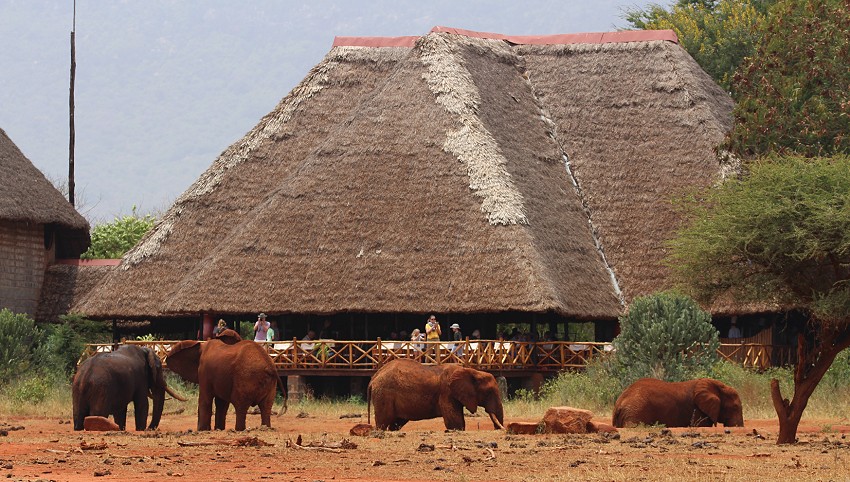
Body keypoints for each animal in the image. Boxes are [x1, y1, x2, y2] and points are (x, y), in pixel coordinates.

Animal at [366, 358, 504, 434]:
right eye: (488, 393)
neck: (472, 371)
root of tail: (373, 378)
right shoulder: (446, 392)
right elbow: (455, 423)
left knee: (395, 423)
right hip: (383, 394)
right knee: (383, 422)